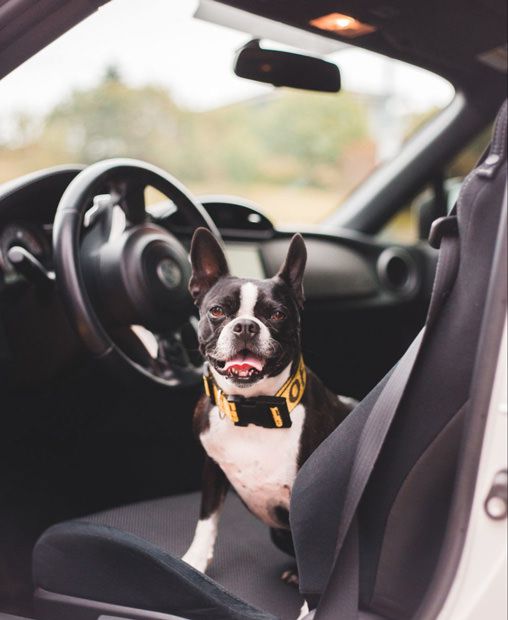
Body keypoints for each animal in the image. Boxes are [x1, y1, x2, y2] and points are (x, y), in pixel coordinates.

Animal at [183, 228, 354, 576]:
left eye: (277, 314)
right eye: (217, 311)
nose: (246, 326)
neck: (253, 409)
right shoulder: (212, 467)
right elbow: (207, 518)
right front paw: (195, 560)